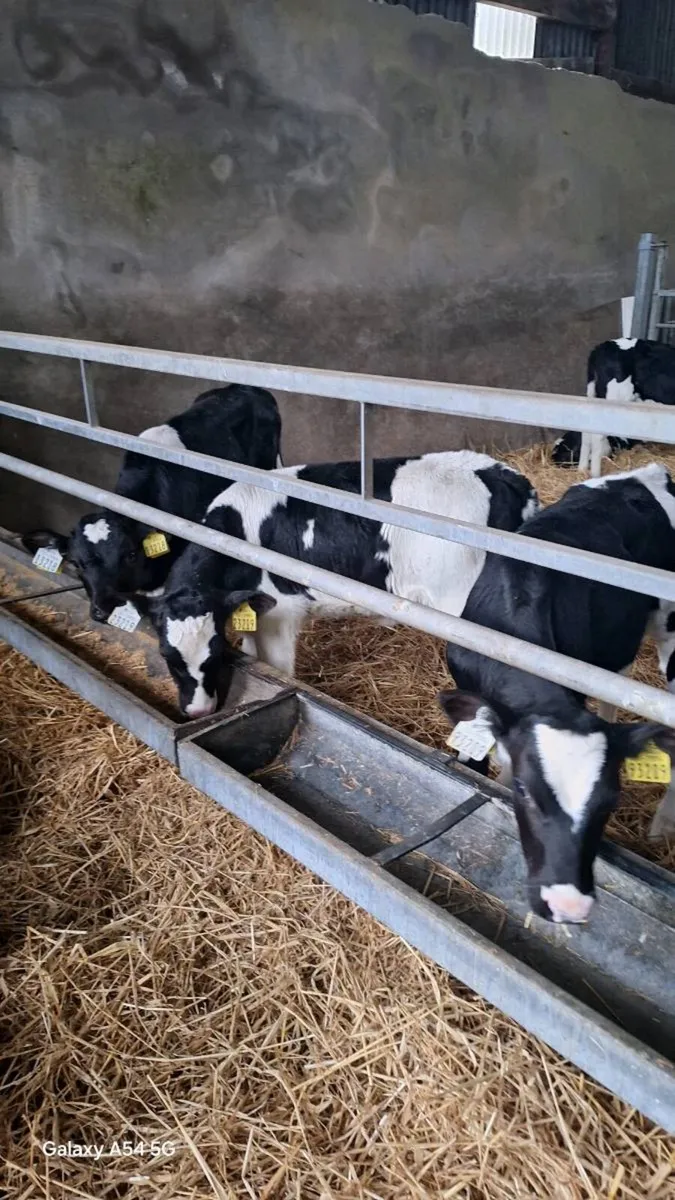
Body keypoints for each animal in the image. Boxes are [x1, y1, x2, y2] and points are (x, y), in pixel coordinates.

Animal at [148, 451, 539, 719]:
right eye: (168, 656)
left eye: (214, 653)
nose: (198, 711)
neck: (235, 534)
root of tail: (502, 473)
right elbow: (252, 651)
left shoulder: (283, 610)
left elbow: (280, 669)